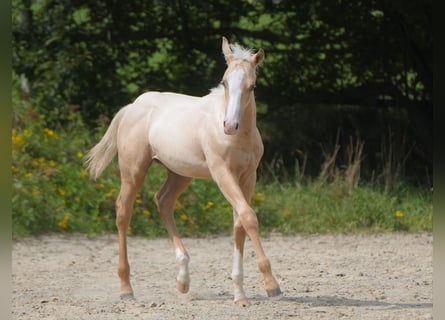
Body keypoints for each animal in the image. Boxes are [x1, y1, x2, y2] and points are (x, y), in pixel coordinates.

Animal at [84, 36, 280, 306]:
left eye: (252, 86)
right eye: (224, 82)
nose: (230, 125)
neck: (239, 138)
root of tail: (132, 106)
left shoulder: (248, 176)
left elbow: (240, 223)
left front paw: (240, 295)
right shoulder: (222, 173)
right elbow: (249, 217)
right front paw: (271, 285)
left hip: (180, 173)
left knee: (163, 201)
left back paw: (183, 281)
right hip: (134, 169)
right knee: (123, 211)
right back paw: (126, 288)